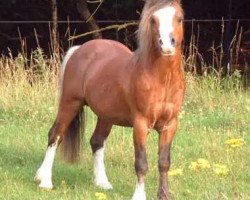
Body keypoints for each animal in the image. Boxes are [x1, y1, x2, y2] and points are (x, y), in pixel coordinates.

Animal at [35, 0, 185, 199]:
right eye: (153, 20)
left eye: (179, 18)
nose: (167, 45)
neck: (162, 80)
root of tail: (79, 49)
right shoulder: (140, 124)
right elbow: (141, 163)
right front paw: (139, 195)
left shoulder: (170, 125)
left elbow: (164, 162)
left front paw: (164, 195)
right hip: (70, 103)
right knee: (55, 135)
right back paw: (45, 180)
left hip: (106, 116)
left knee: (96, 142)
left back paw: (102, 183)